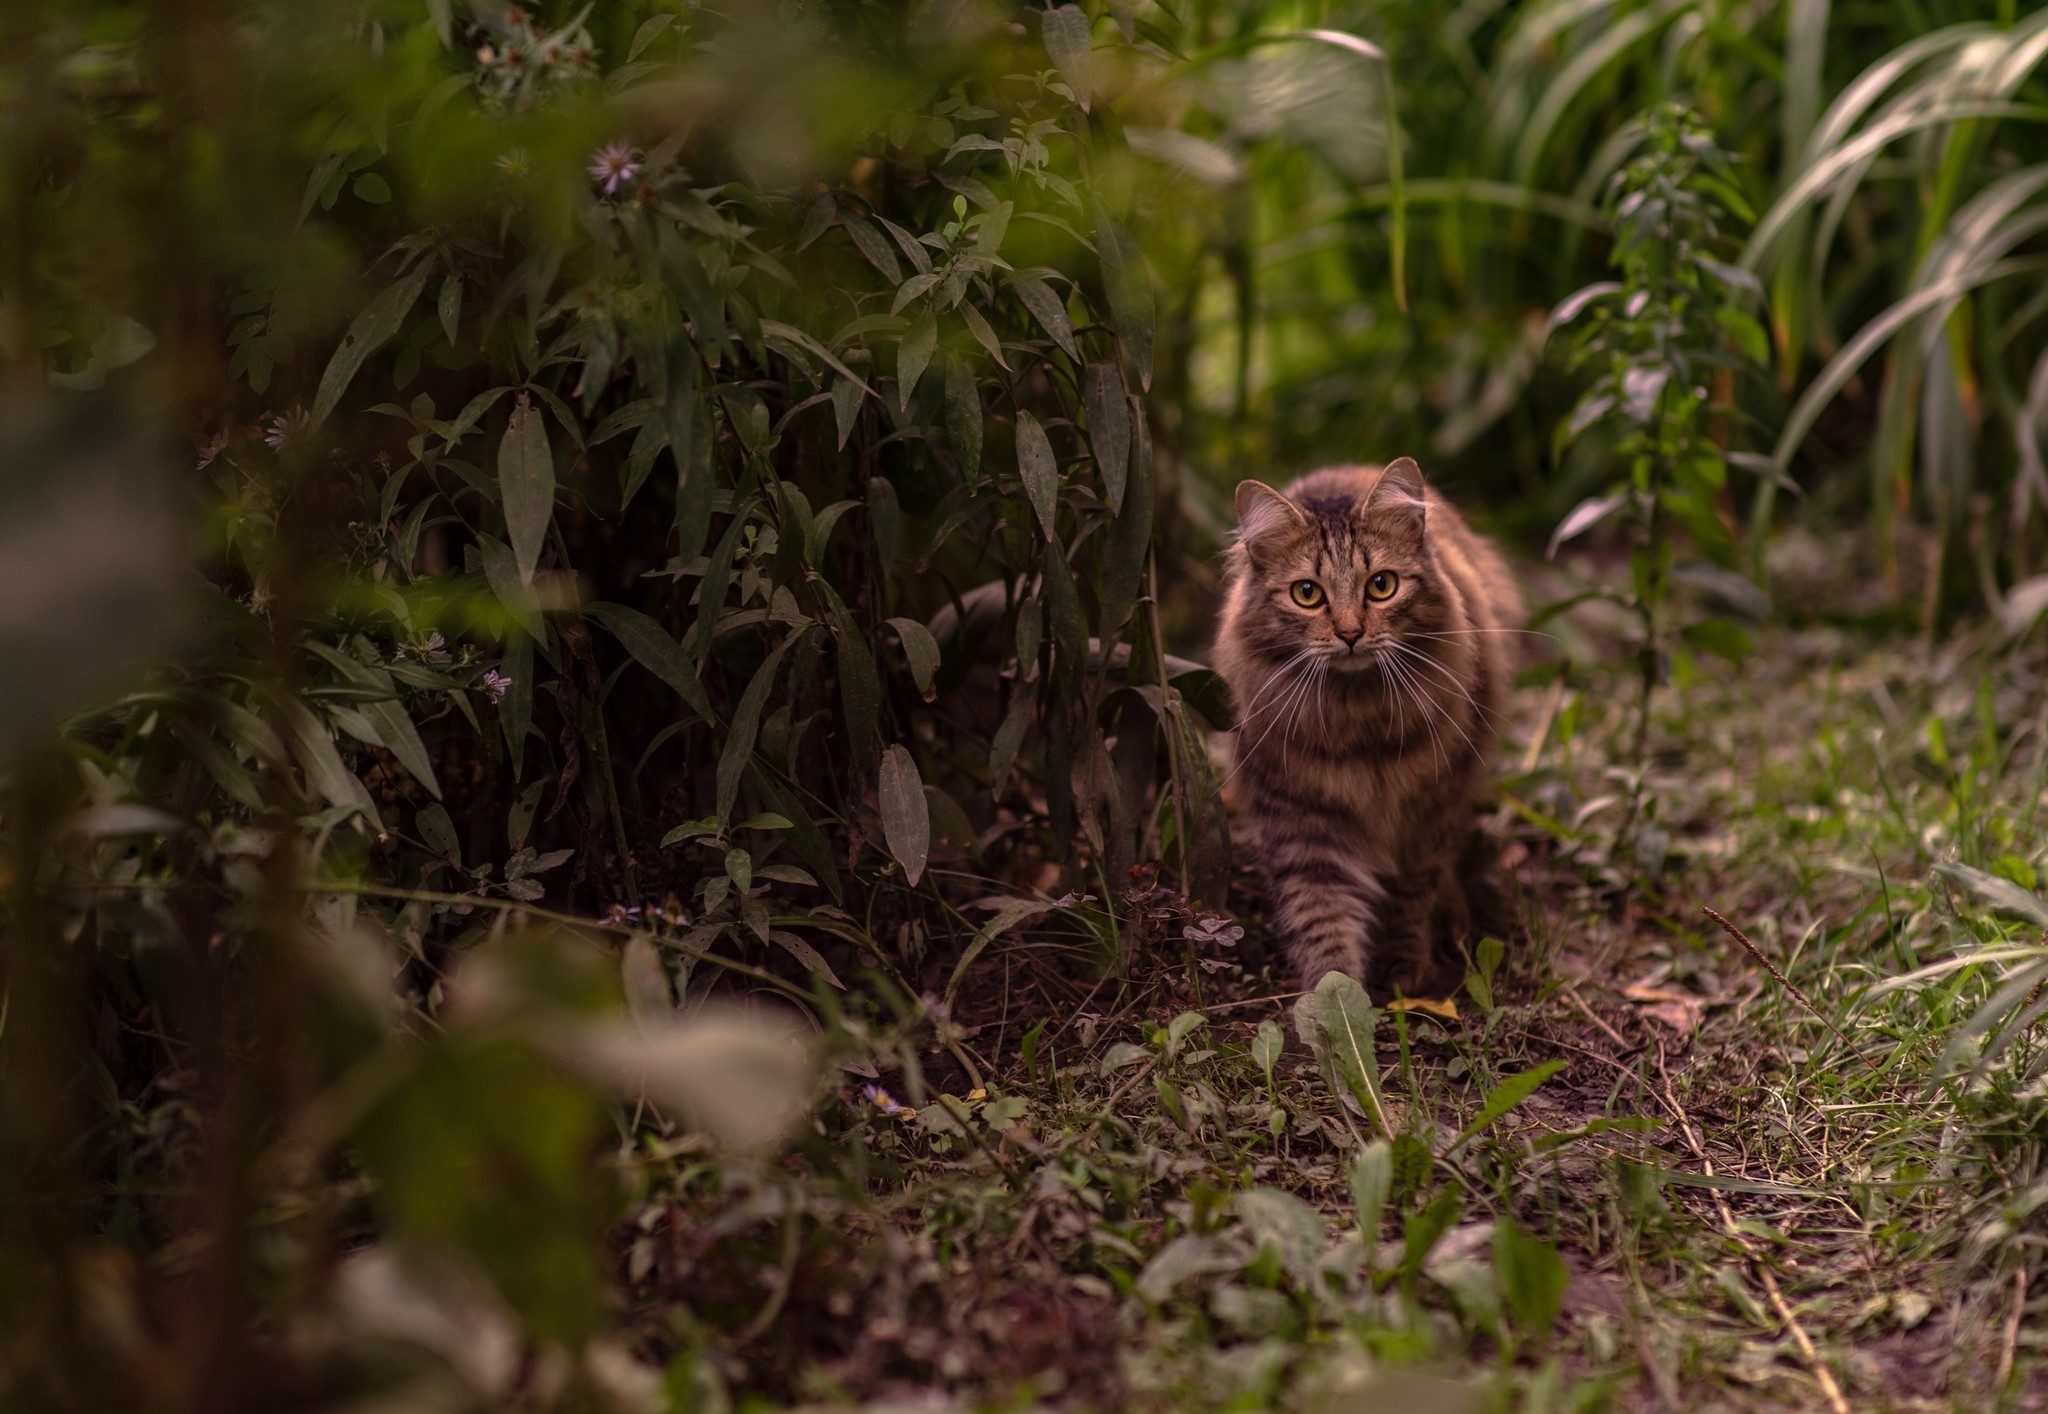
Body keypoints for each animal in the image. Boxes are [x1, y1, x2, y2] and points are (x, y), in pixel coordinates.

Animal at [1212, 456, 1523, 995]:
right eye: (1307, 594)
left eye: (1381, 585)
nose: (1351, 633)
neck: (1357, 723)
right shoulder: (1301, 822)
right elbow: (1322, 917)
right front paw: (1336, 995)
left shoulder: (1425, 814)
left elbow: (1411, 893)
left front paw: (1407, 966)